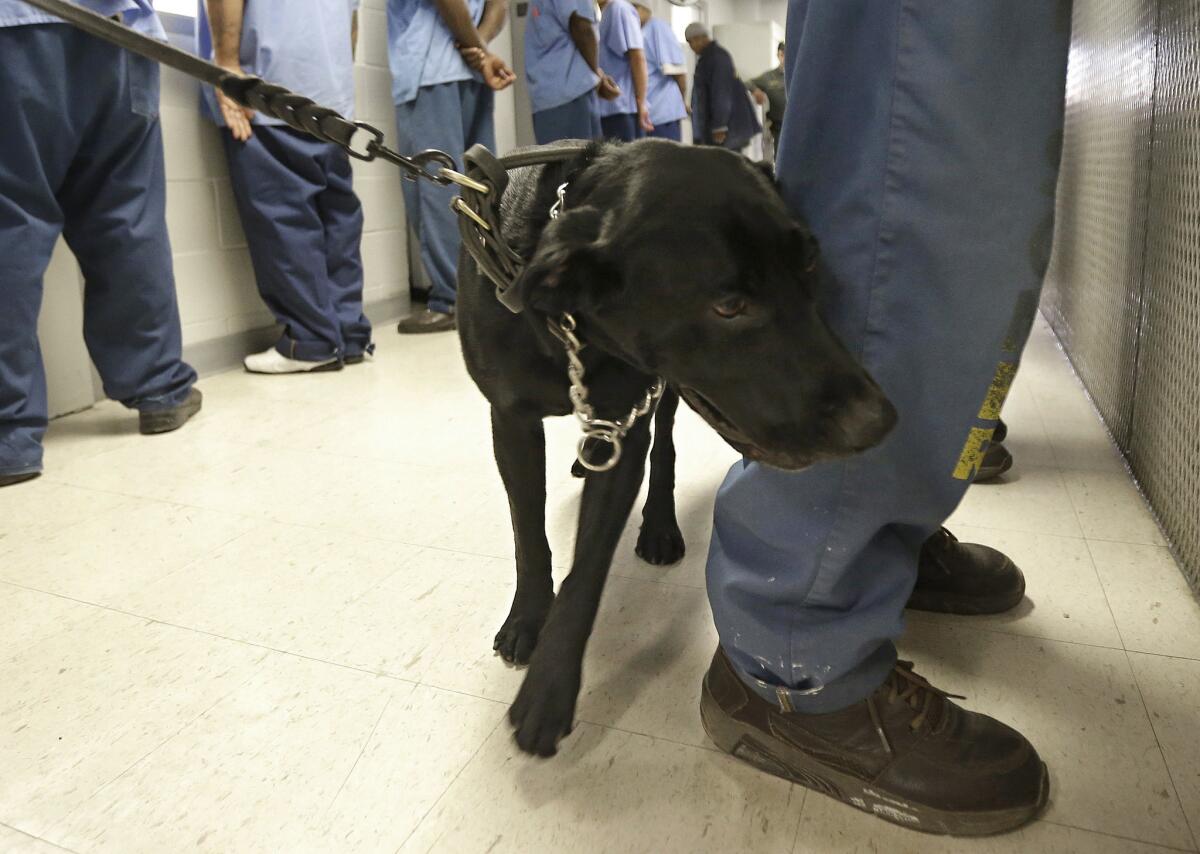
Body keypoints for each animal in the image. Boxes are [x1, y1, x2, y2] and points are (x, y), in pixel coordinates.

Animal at [453, 138, 897, 753]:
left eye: (808, 261)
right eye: (728, 305)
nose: (877, 422)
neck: (568, 322)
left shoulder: (623, 425)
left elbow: (587, 570)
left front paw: (548, 690)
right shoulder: (512, 421)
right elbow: (529, 533)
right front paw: (527, 619)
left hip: (661, 398)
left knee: (663, 453)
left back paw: (660, 525)